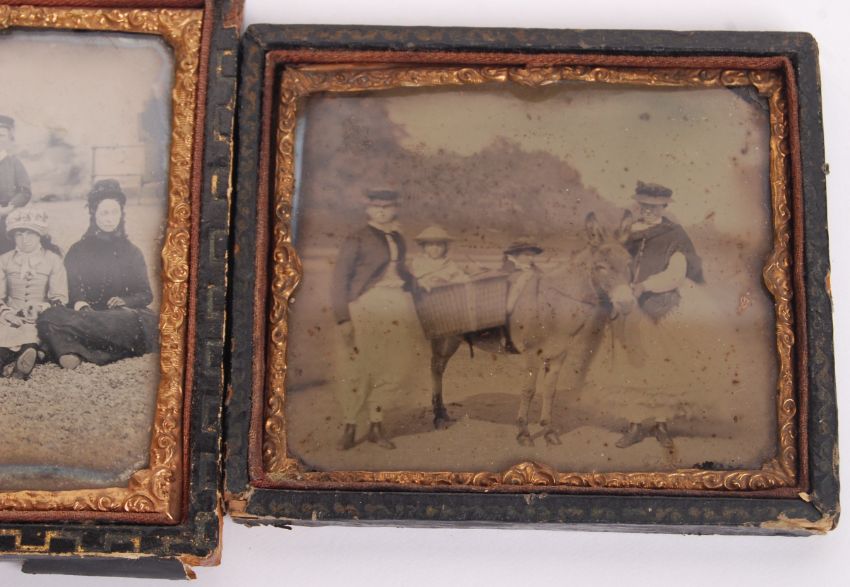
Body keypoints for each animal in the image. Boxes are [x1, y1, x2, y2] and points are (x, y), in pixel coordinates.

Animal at [427, 212, 635, 446]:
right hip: (444, 340)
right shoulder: (531, 354)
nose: (627, 303)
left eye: (629, 263)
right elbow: (528, 390)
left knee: (440, 368)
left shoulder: (558, 355)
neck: (553, 304)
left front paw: (549, 431)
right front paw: (523, 433)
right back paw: (438, 417)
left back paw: (443, 413)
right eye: (601, 267)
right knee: (436, 369)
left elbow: (550, 392)